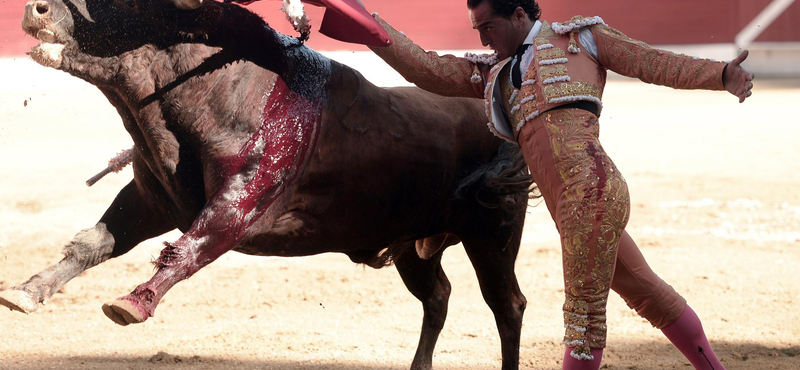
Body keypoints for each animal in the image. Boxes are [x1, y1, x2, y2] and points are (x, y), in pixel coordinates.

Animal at [3, 0, 536, 370]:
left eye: (128, 4)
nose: (36, 8)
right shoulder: (150, 199)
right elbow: (93, 242)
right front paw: (26, 291)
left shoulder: (240, 203)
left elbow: (190, 247)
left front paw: (132, 302)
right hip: (411, 244)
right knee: (437, 296)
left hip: (492, 233)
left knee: (507, 305)